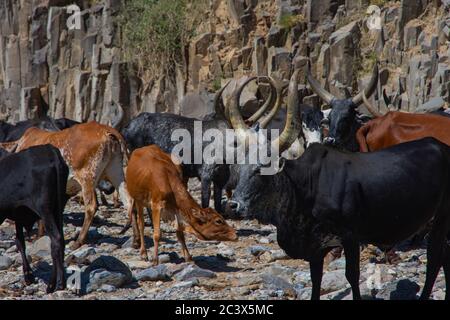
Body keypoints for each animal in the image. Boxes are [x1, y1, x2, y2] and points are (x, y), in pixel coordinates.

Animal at [0, 145, 68, 292]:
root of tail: (50, 152)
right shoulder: (18, 216)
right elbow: (20, 242)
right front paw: (28, 275)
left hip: (44, 209)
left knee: (56, 239)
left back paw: (56, 284)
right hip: (57, 208)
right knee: (60, 241)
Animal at [1, 121, 131, 249]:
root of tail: (107, 130)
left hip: (87, 177)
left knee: (92, 207)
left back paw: (78, 241)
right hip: (116, 172)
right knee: (128, 201)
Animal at [225, 68, 450, 300]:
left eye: (262, 168)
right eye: (239, 167)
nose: (233, 205)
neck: (304, 186)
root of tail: (440, 146)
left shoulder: (350, 238)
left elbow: (352, 275)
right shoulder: (316, 247)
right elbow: (316, 279)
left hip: (442, 217)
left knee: (435, 258)